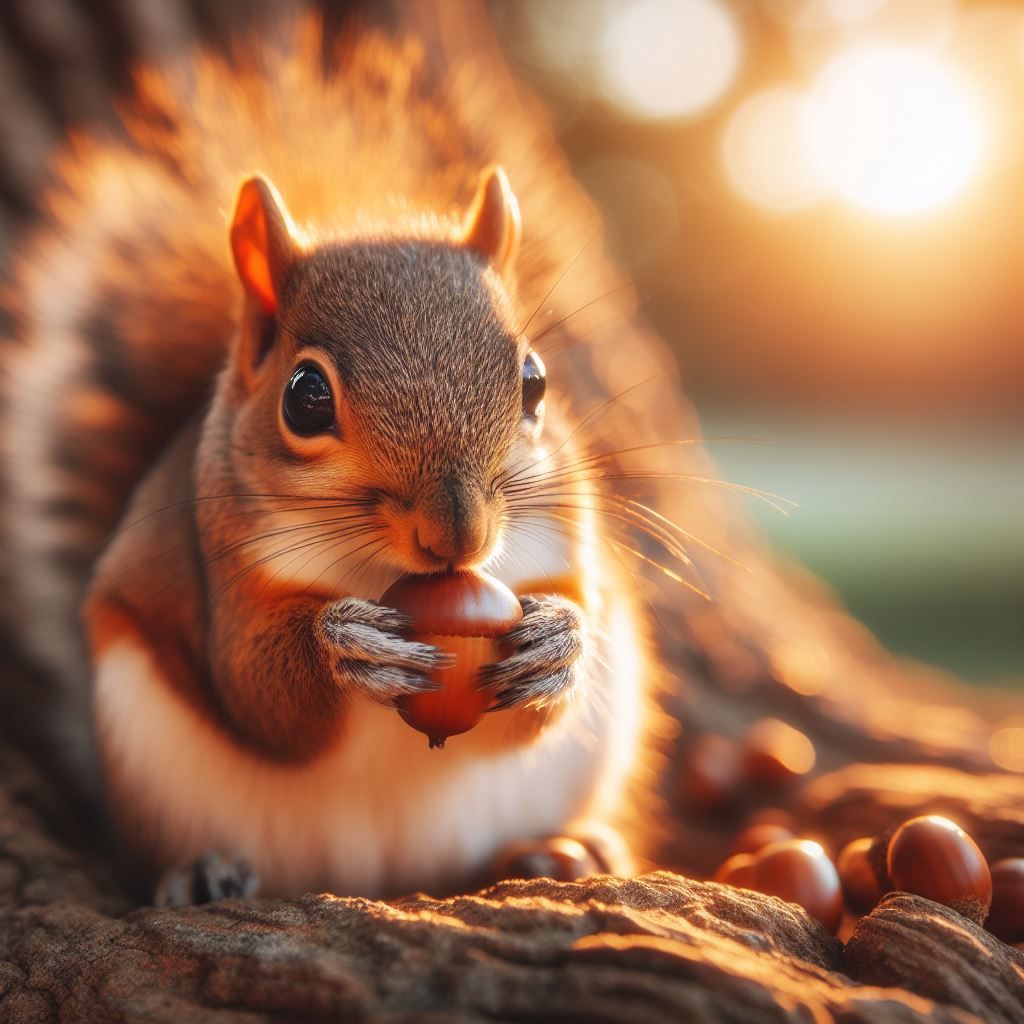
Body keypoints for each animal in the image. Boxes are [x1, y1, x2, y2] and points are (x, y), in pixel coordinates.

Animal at [0, 15, 664, 902]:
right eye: (306, 398)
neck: (385, 572)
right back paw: (200, 870)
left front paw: (559, 642)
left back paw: (563, 849)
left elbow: (547, 678)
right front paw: (343, 644)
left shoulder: (560, 539)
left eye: (535, 381)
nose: (458, 537)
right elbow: (260, 695)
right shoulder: (220, 568)